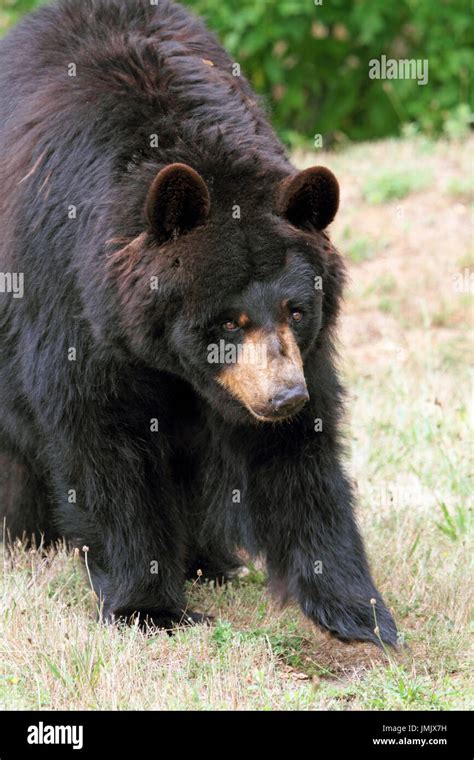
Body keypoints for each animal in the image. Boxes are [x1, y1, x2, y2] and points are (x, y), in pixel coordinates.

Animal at [0, 0, 396, 648]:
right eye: (230, 321)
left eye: (296, 309)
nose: (283, 396)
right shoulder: (70, 305)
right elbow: (101, 441)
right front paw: (148, 606)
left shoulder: (299, 355)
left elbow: (298, 458)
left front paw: (358, 610)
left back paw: (212, 560)